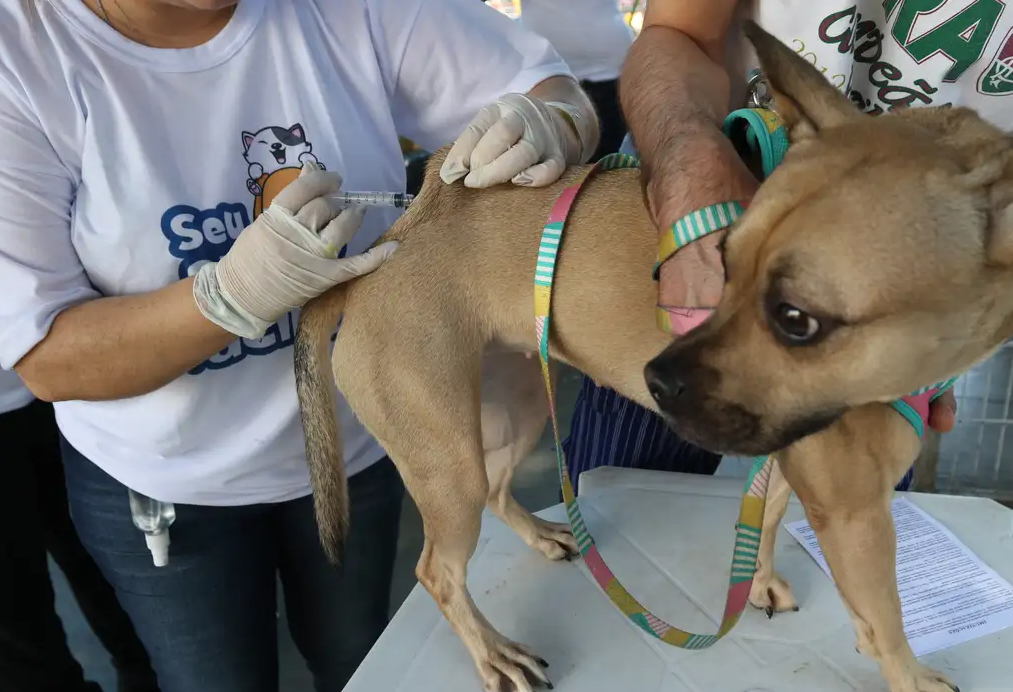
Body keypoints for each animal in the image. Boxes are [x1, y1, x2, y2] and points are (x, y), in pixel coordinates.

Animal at [289, 20, 1008, 692]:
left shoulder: (788, 452)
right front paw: (913, 677)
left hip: (515, 409)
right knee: (437, 570)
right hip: (446, 460)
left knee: (495, 491)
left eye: (795, 319)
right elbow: (885, 618)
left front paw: (758, 582)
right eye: (721, 260)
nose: (655, 381)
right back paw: (494, 654)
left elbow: (769, 515)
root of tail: (388, 248)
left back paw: (540, 535)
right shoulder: (857, 514)